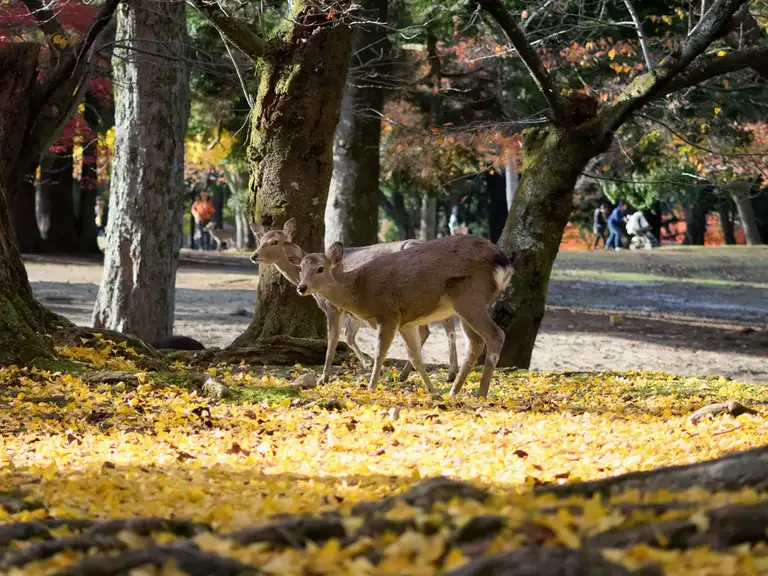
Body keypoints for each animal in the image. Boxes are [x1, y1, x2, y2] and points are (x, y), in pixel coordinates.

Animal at [249, 219, 459, 385]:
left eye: (275, 242)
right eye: (260, 239)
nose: (254, 255)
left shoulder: (334, 307)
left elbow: (334, 338)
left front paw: (324, 377)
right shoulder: (353, 311)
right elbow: (349, 336)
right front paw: (368, 364)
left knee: (435, 327)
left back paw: (429, 373)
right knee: (441, 324)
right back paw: (433, 373)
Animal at [287, 234, 514, 398]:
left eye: (320, 268)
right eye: (300, 268)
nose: (301, 287)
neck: (360, 292)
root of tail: (503, 263)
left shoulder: (388, 315)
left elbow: (380, 353)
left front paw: (371, 387)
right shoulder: (406, 323)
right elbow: (416, 357)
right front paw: (433, 393)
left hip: (469, 299)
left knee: (496, 335)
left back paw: (480, 394)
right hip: (467, 306)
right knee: (475, 342)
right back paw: (453, 391)